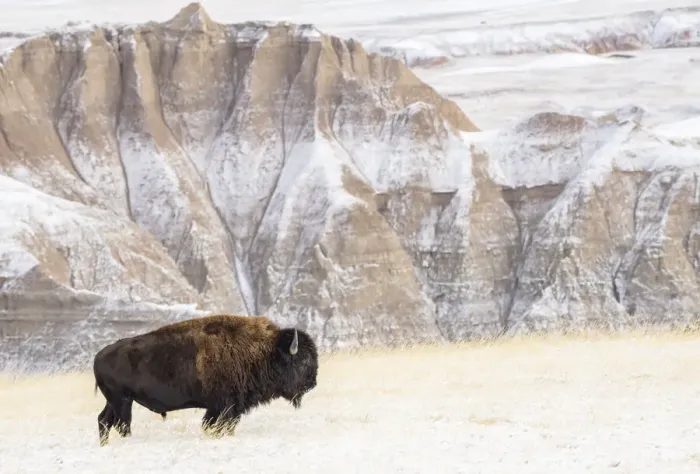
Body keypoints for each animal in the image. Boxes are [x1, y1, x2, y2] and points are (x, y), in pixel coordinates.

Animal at [92, 314, 318, 446]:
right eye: (303, 360)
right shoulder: (225, 407)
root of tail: (98, 356)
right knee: (122, 424)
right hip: (122, 400)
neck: (265, 351)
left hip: (115, 401)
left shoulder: (224, 408)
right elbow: (218, 425)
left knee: (104, 420)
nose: (312, 383)